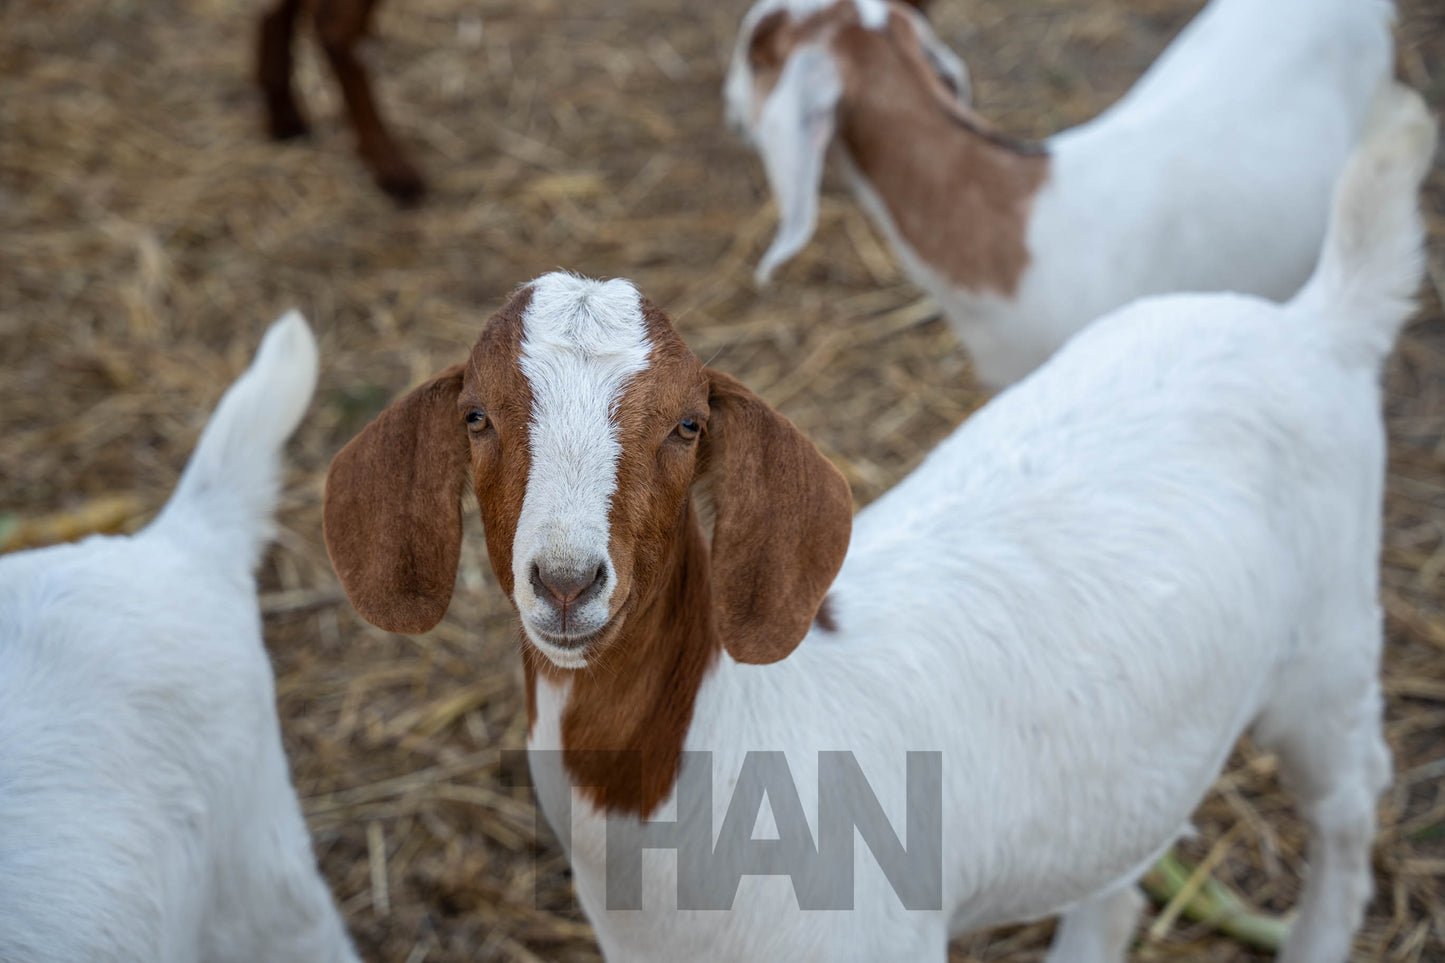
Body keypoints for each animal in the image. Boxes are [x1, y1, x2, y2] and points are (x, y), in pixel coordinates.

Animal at [325, 88, 1433, 960]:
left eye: (686, 424)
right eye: (477, 415)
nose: (564, 580)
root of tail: (1314, 325)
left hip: (1328, 648)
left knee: (1348, 802)